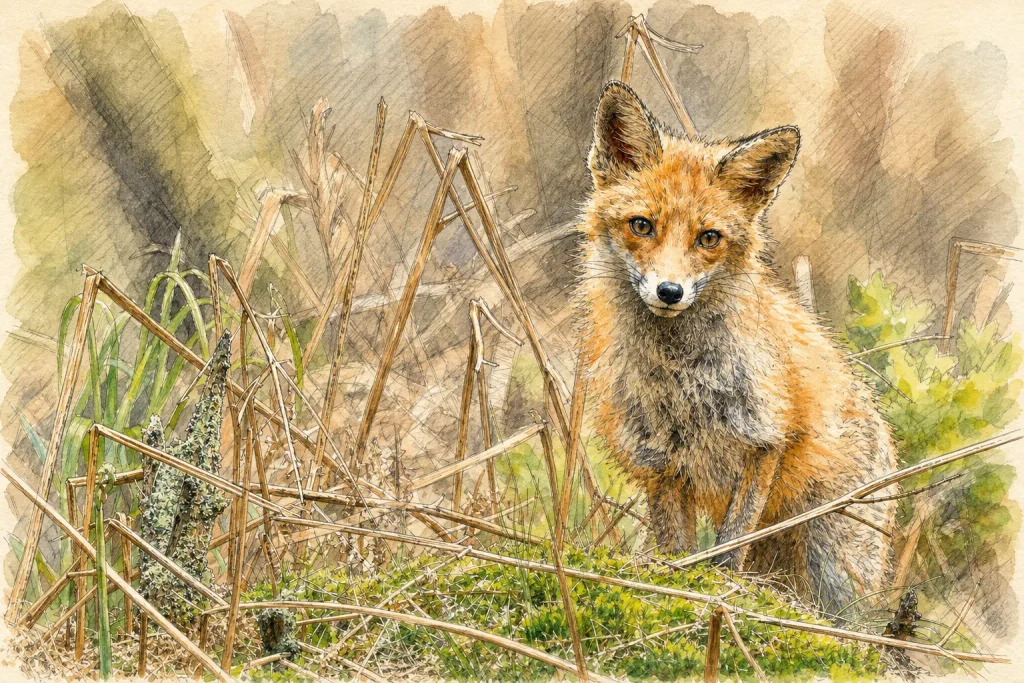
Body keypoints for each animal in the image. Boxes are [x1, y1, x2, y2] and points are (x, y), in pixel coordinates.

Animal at [576, 81, 897, 615]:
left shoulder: (765, 438)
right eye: (642, 226)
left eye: (709, 237)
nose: (669, 292)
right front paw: (678, 584)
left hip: (833, 564)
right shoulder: (659, 458)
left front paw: (721, 589)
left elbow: (732, 540)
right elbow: (676, 545)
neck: (682, 375)